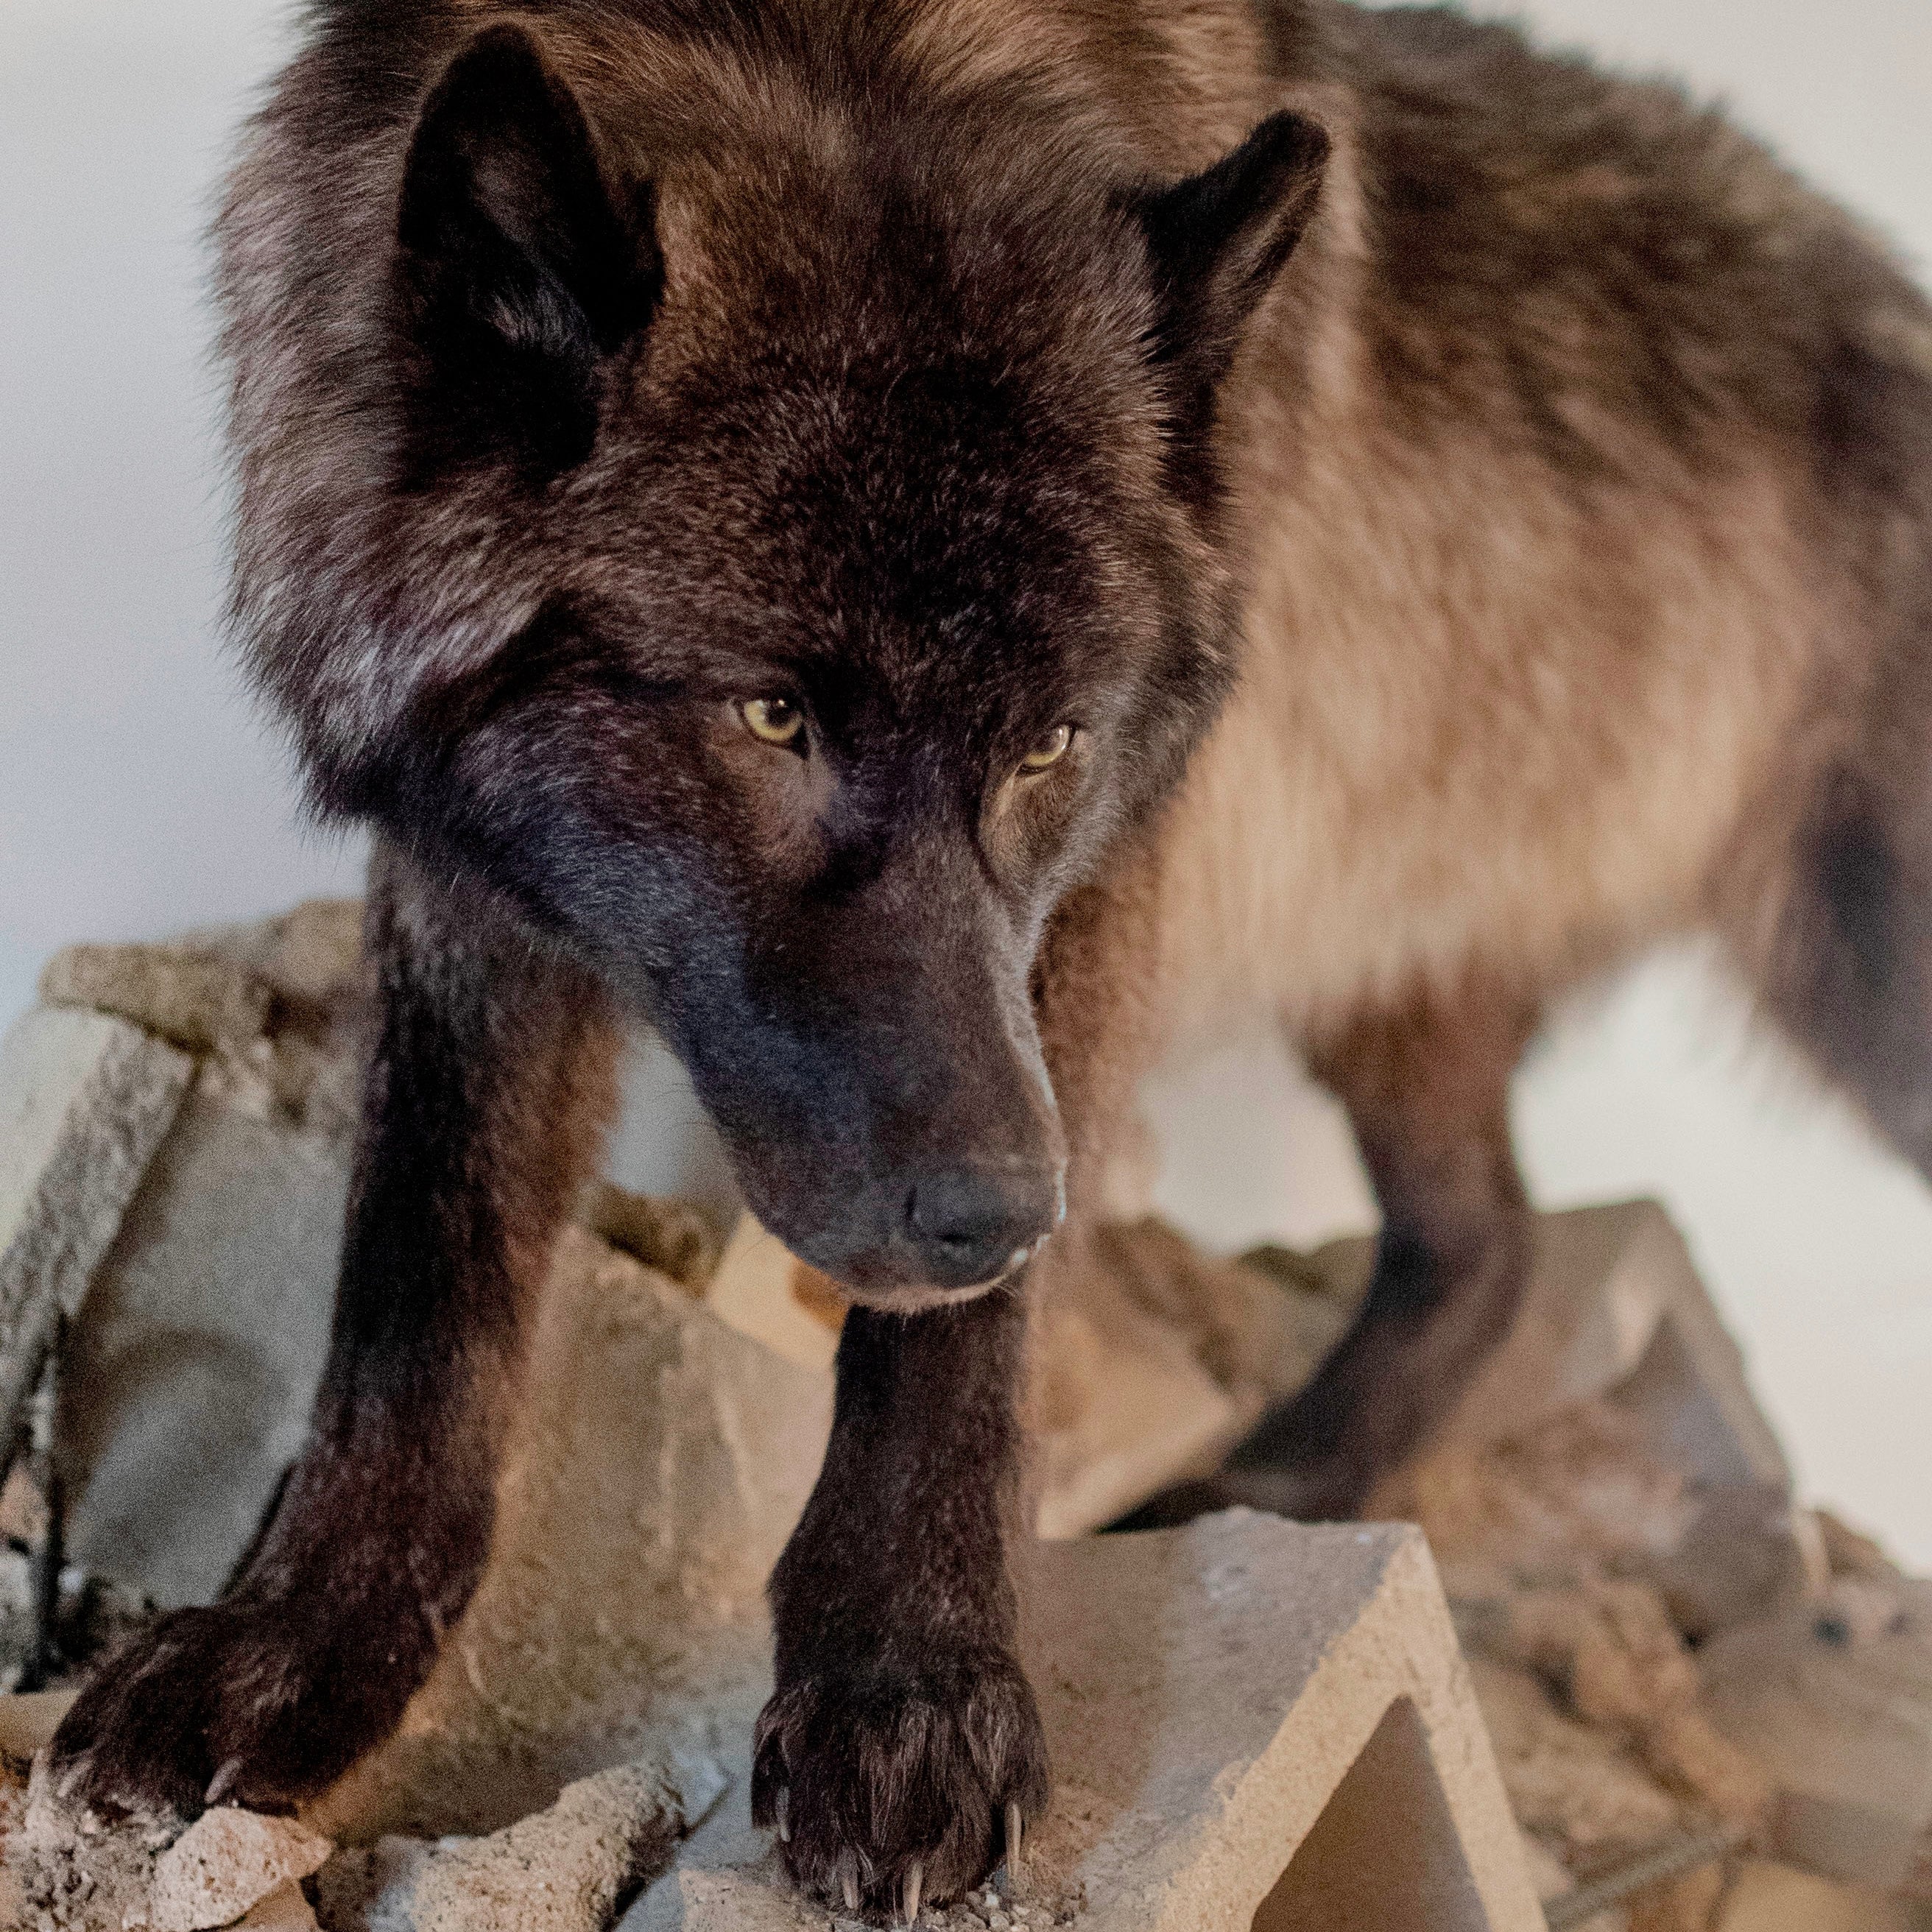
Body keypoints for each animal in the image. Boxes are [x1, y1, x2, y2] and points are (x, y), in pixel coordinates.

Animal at [49, 0, 1932, 1914]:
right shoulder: (465, 878)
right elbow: (416, 1285)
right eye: (773, 713)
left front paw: (908, 1681)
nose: (998, 1211)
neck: (839, 59)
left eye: (1048, 743)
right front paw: (294, 1648)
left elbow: (956, 1347)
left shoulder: (1105, 884)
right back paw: (1283, 1474)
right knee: (1486, 1242)